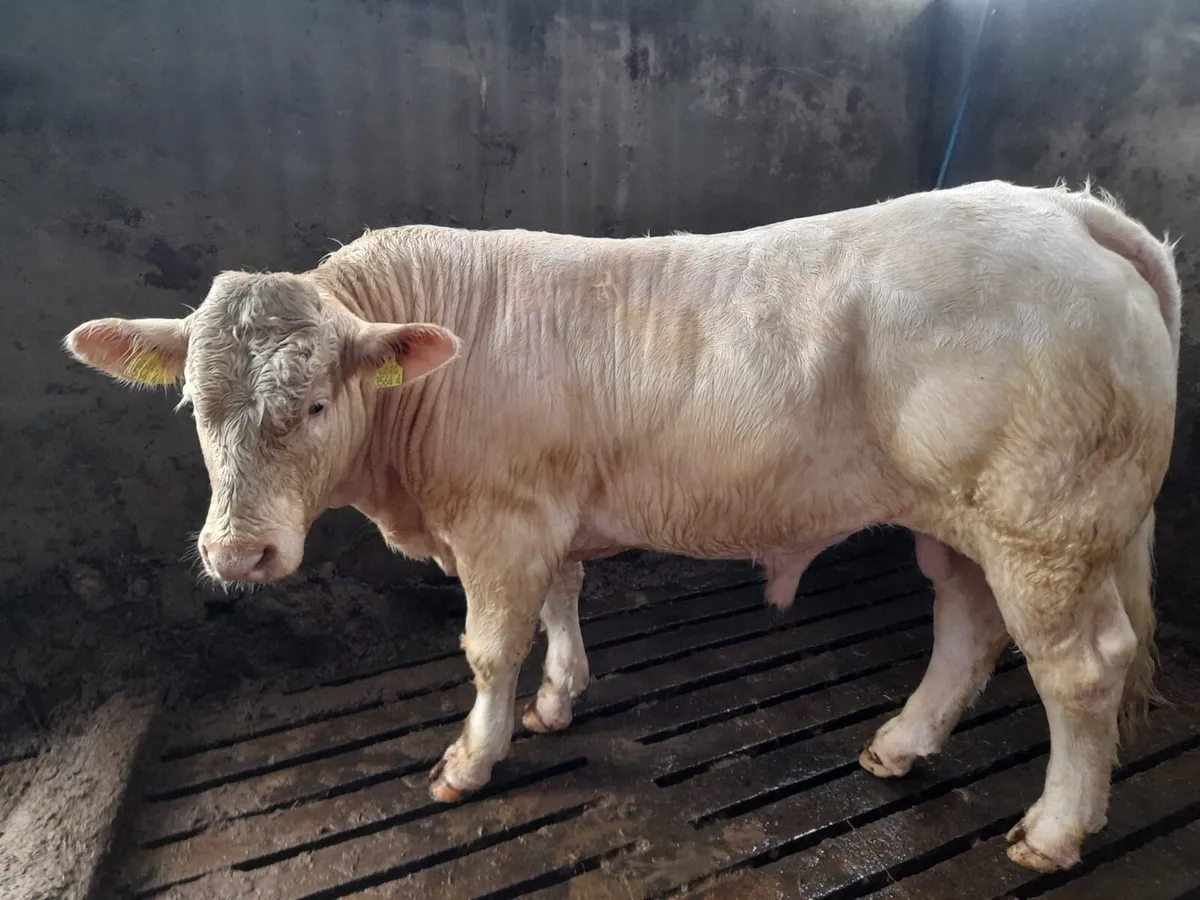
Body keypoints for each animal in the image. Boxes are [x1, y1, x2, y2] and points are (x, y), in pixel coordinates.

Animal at [65, 180, 1180, 874]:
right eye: (195, 408)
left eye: (315, 406)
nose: (237, 552)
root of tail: (1062, 209)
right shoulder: (547, 515)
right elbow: (563, 603)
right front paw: (559, 698)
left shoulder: (500, 522)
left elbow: (488, 649)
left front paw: (471, 759)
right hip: (965, 518)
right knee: (967, 628)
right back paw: (901, 745)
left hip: (1046, 525)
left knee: (1080, 670)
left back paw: (1055, 829)